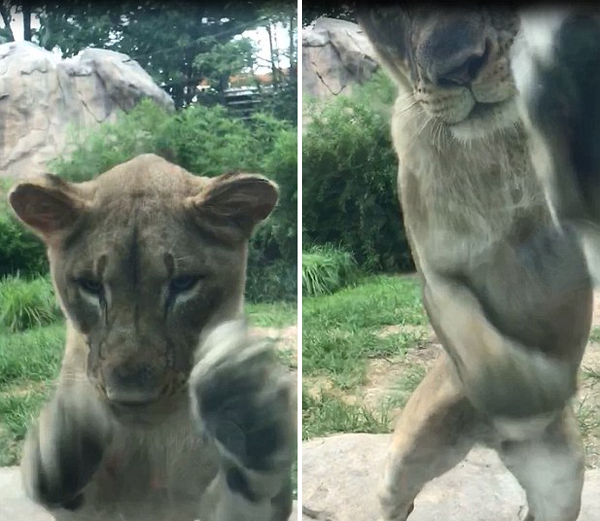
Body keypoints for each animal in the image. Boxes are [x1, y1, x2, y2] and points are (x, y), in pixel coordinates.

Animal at [4, 153, 296, 520]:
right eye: (91, 285)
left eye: (183, 283)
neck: (151, 441)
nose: (130, 396)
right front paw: (64, 436)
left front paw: (246, 414)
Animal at [358, 5, 596, 520]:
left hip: (562, 483)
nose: (457, 68)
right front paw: (534, 389)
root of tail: (490, 443)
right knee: (392, 498)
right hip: (404, 459)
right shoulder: (437, 277)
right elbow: (481, 346)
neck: (495, 146)